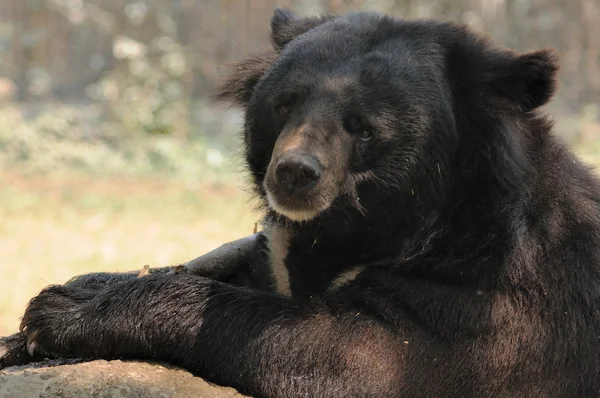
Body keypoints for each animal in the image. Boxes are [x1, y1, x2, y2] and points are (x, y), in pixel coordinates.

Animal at [1, 7, 600, 398]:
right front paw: (60, 301)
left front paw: (57, 315)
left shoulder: (487, 304)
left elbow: (350, 352)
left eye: (362, 127)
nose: (293, 173)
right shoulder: (277, 252)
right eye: (285, 103)